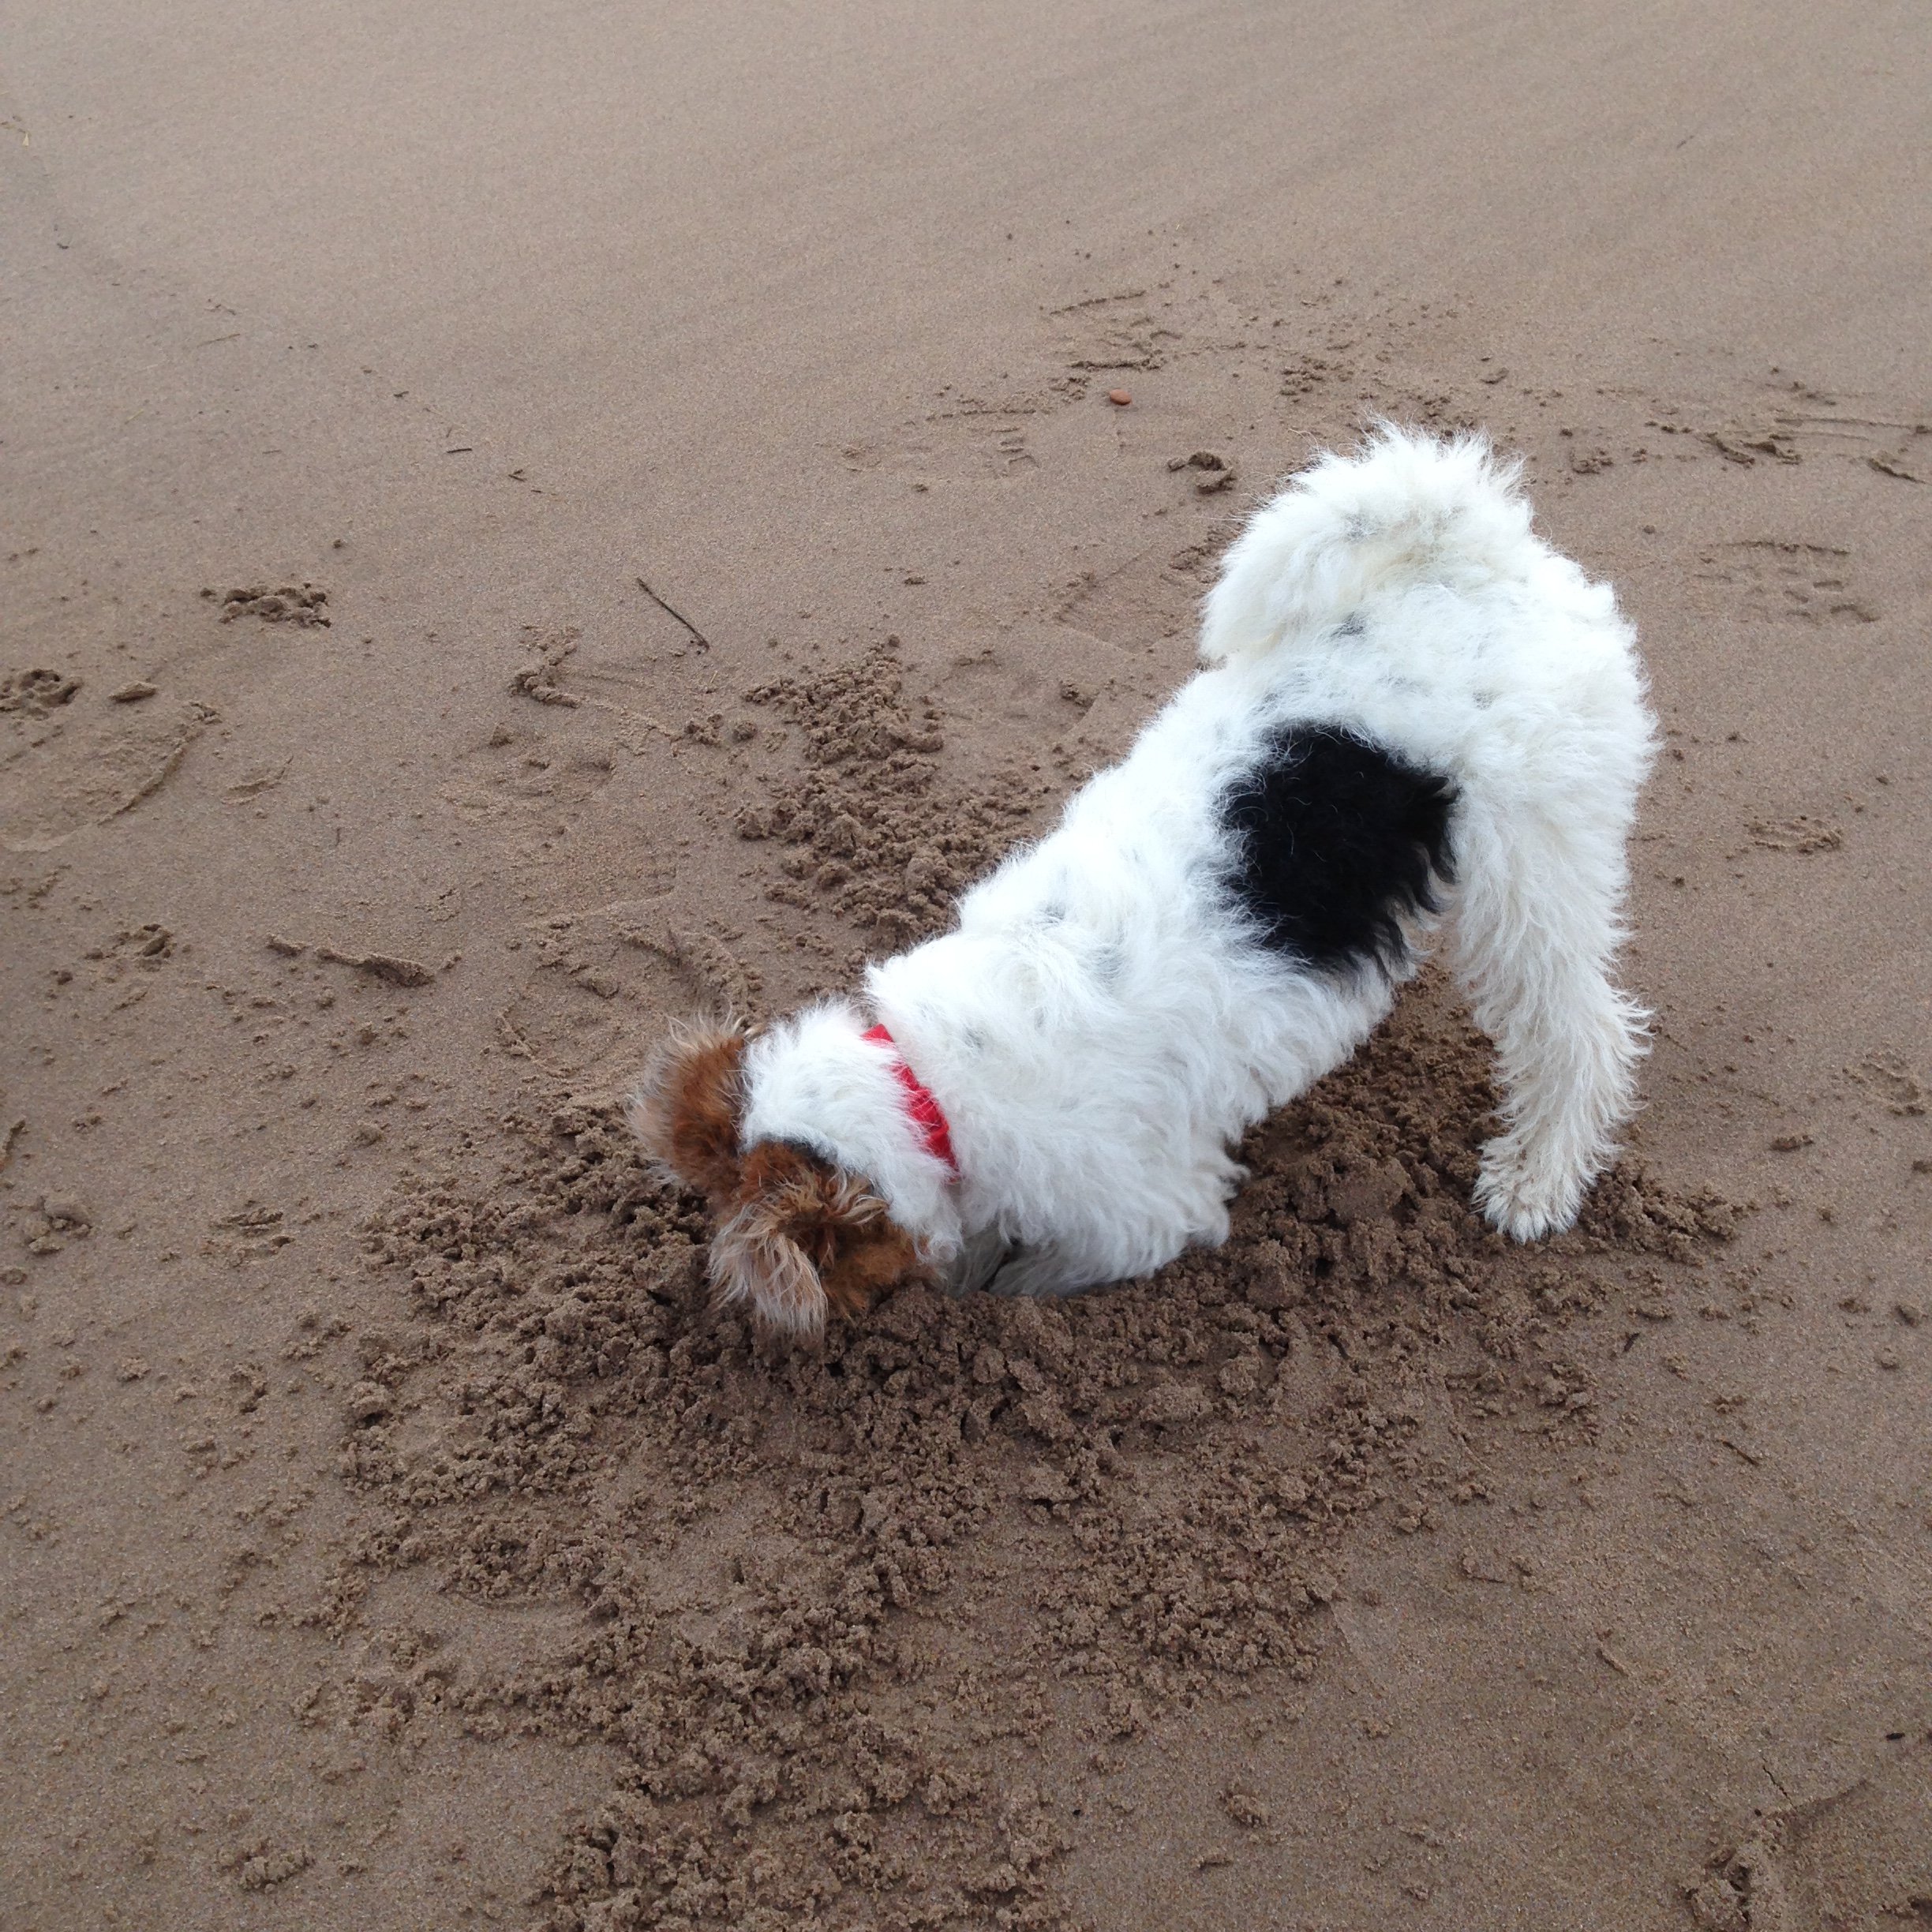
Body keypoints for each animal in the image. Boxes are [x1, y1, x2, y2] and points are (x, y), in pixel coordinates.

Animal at [637, 425, 1661, 1337]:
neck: (929, 1082)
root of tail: (1478, 554)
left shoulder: (1144, 1214)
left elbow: (1039, 1268)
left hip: (1536, 869)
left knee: (1584, 1033)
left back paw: (1533, 1181)